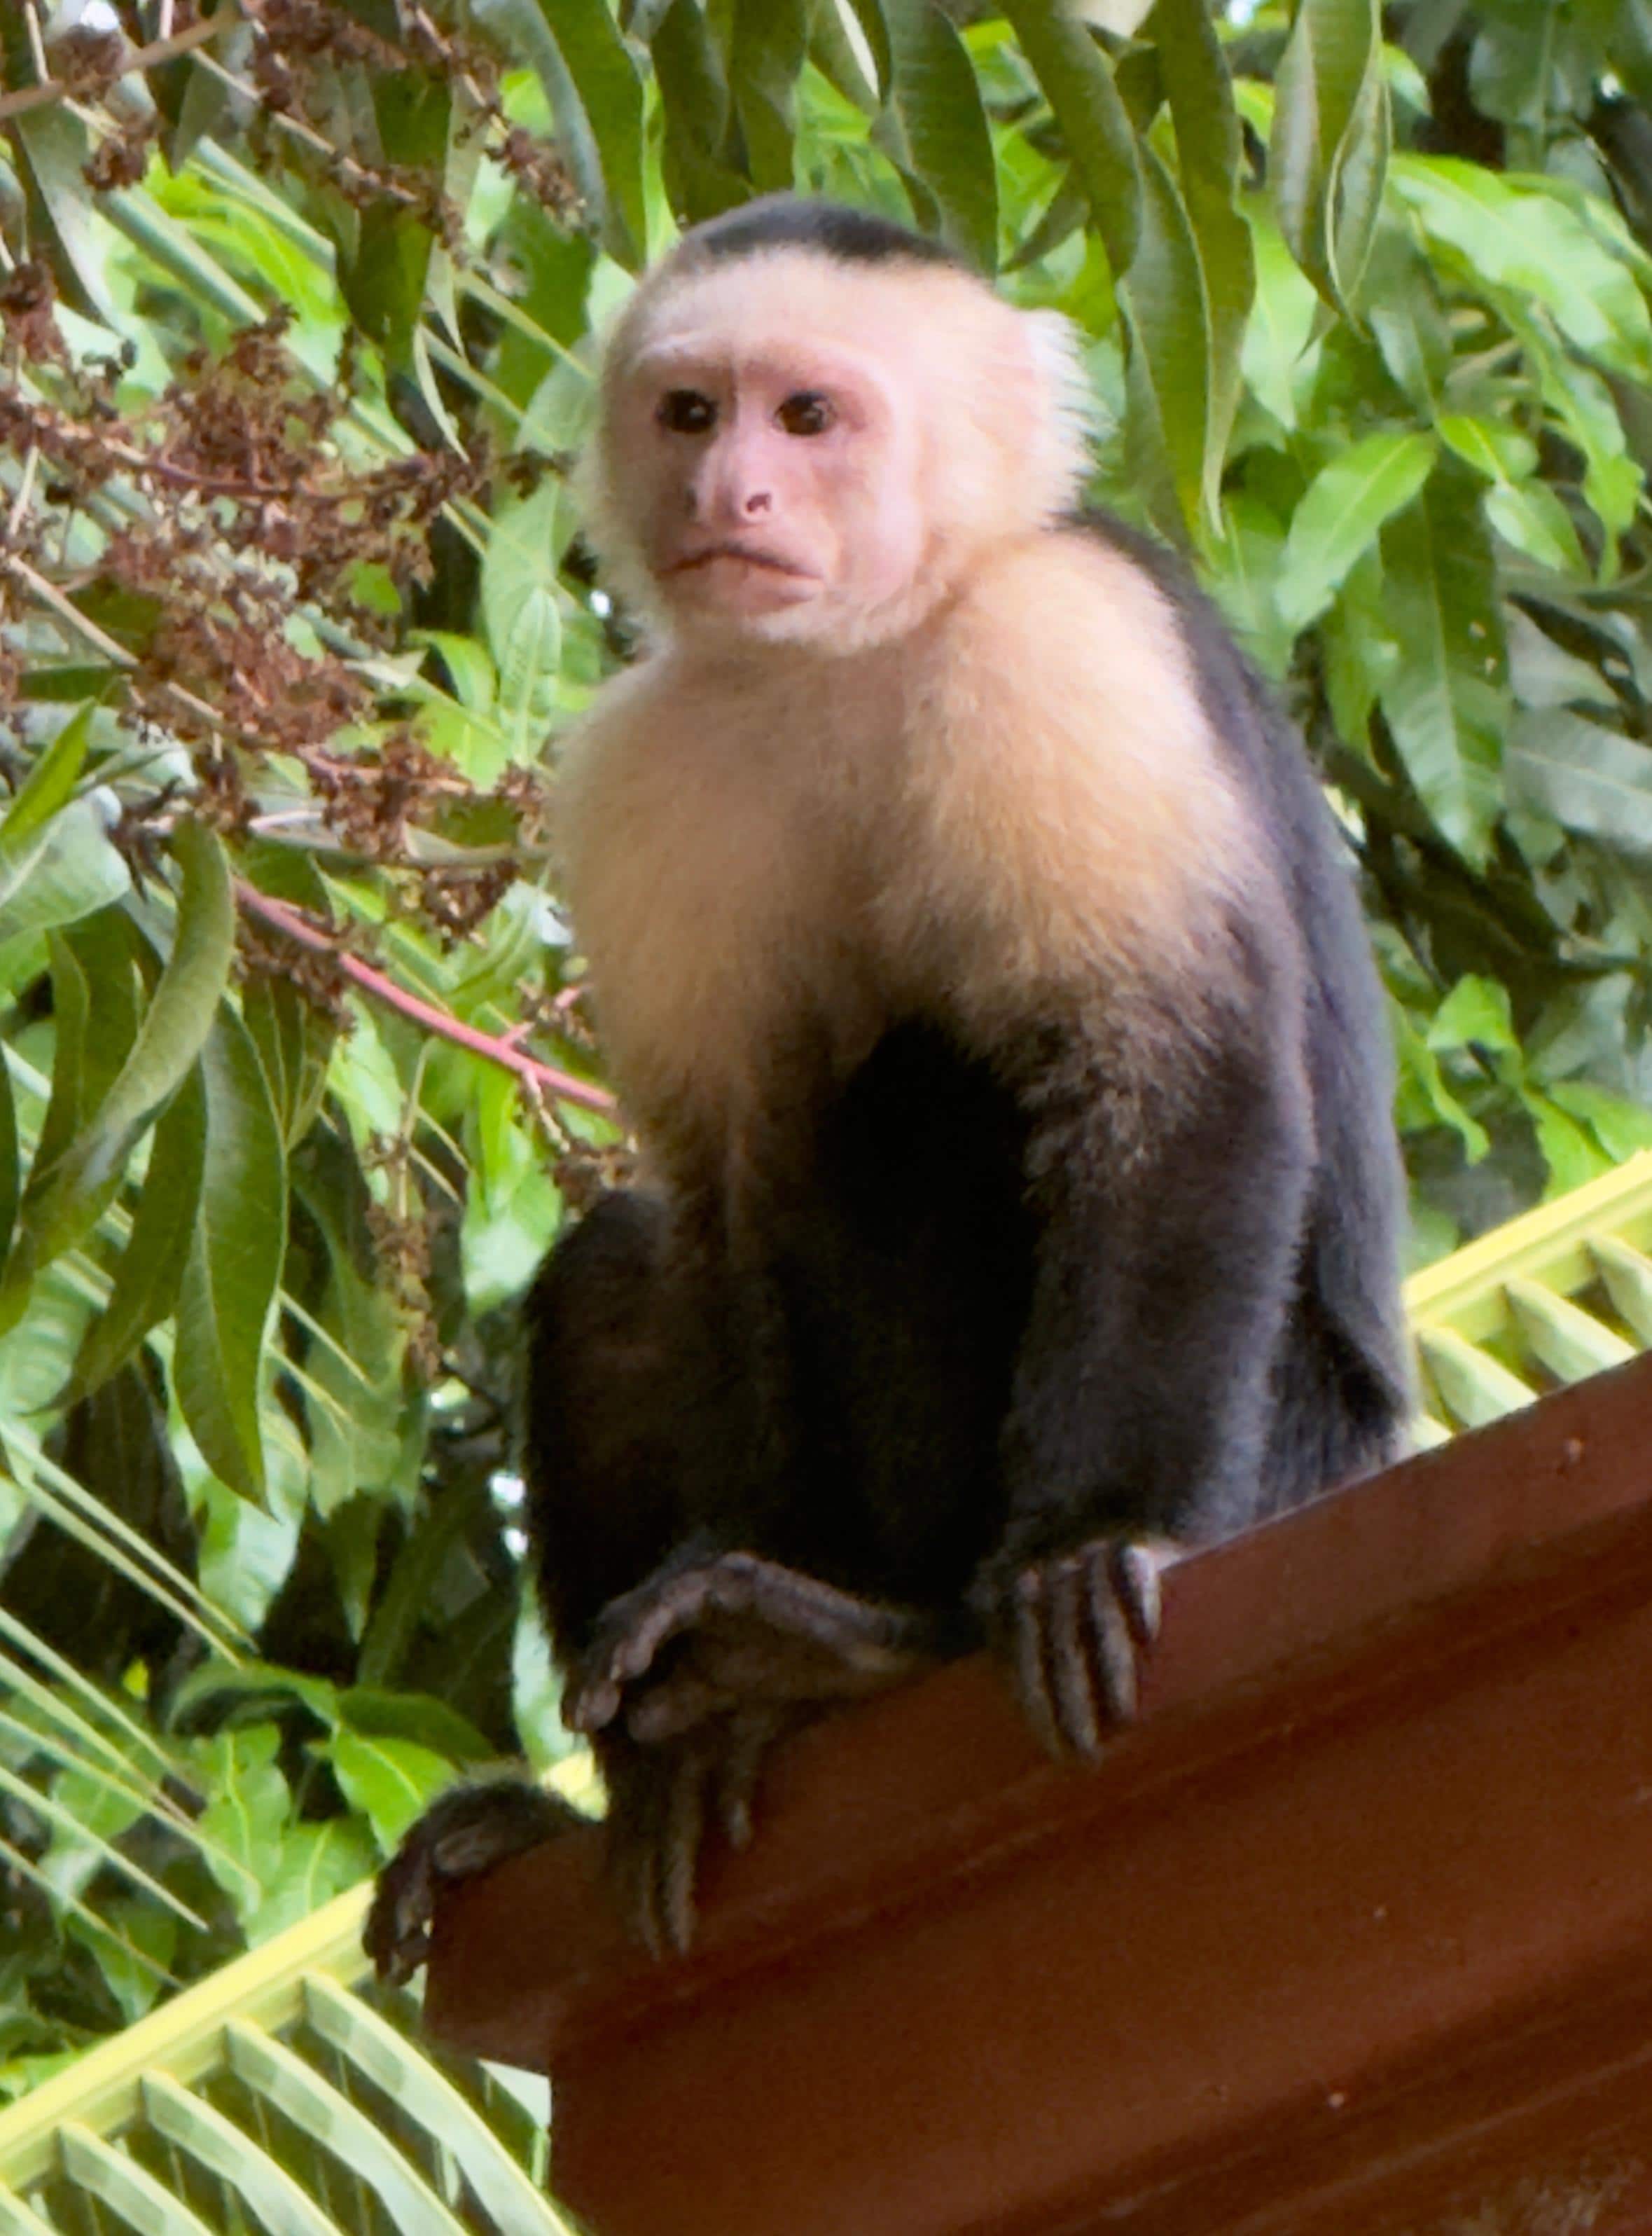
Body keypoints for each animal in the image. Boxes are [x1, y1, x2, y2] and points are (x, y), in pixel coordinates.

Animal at [367, 193, 1410, 1978]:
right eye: (692, 414)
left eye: (809, 417)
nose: (733, 496)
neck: (853, 648)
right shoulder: (646, 767)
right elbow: (730, 1190)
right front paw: (720, 1654)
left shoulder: (1065, 647)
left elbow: (1165, 1071)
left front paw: (1083, 1546)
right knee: (635, 1268)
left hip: (1296, 1456)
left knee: (934, 1092)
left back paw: (889, 1637)